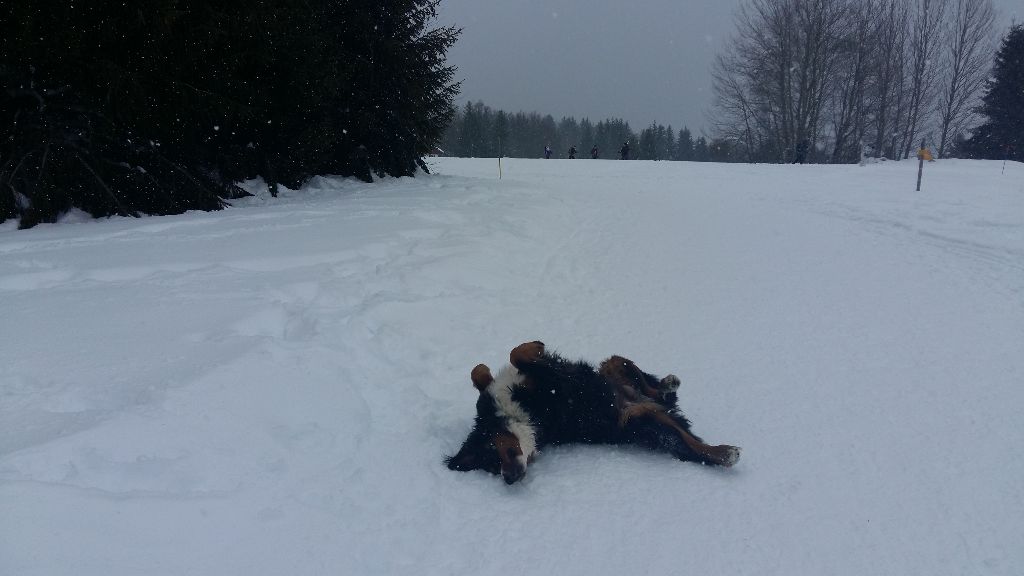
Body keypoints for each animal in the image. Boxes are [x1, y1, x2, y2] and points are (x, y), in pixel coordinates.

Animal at [445, 341, 740, 484]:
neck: (516, 415)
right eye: (492, 467)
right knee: (690, 446)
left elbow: (496, 362)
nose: (510, 479)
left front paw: (535, 346)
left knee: (648, 384)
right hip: (647, 421)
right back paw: (726, 453)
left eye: (493, 455)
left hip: (612, 364)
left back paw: (667, 386)